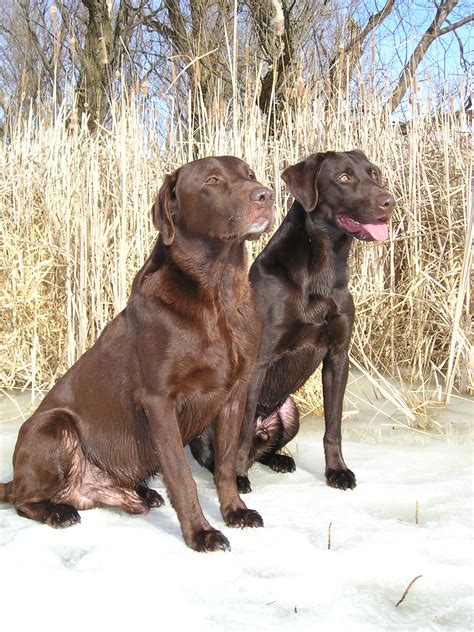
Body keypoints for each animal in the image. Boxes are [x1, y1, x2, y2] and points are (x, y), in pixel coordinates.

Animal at [0, 157, 274, 552]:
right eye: (212, 180)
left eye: (249, 174)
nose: (265, 195)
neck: (216, 294)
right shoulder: (159, 401)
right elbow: (181, 475)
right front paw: (201, 533)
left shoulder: (235, 392)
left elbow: (224, 466)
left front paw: (236, 511)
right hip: (51, 426)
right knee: (21, 498)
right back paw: (57, 512)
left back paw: (140, 494)